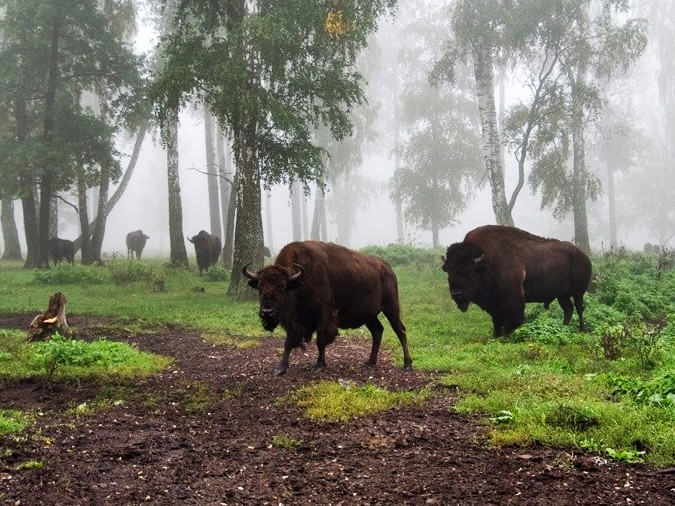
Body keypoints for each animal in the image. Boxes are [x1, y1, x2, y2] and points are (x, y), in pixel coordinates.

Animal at [243, 241, 412, 376]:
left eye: (283, 287)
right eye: (260, 287)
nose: (267, 312)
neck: (299, 281)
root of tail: (389, 269)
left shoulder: (324, 316)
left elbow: (321, 341)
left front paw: (319, 365)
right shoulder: (293, 323)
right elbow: (288, 342)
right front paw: (281, 368)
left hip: (391, 307)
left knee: (400, 331)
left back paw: (407, 364)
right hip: (370, 316)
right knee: (377, 331)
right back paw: (370, 362)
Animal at [440, 225, 588, 336]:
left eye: (469, 271)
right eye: (448, 271)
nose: (456, 293)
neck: (486, 261)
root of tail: (583, 255)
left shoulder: (512, 300)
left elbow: (512, 320)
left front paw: (506, 335)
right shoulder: (494, 303)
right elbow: (496, 320)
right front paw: (496, 335)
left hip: (578, 292)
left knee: (579, 308)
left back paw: (581, 330)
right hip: (562, 295)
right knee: (568, 309)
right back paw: (564, 328)